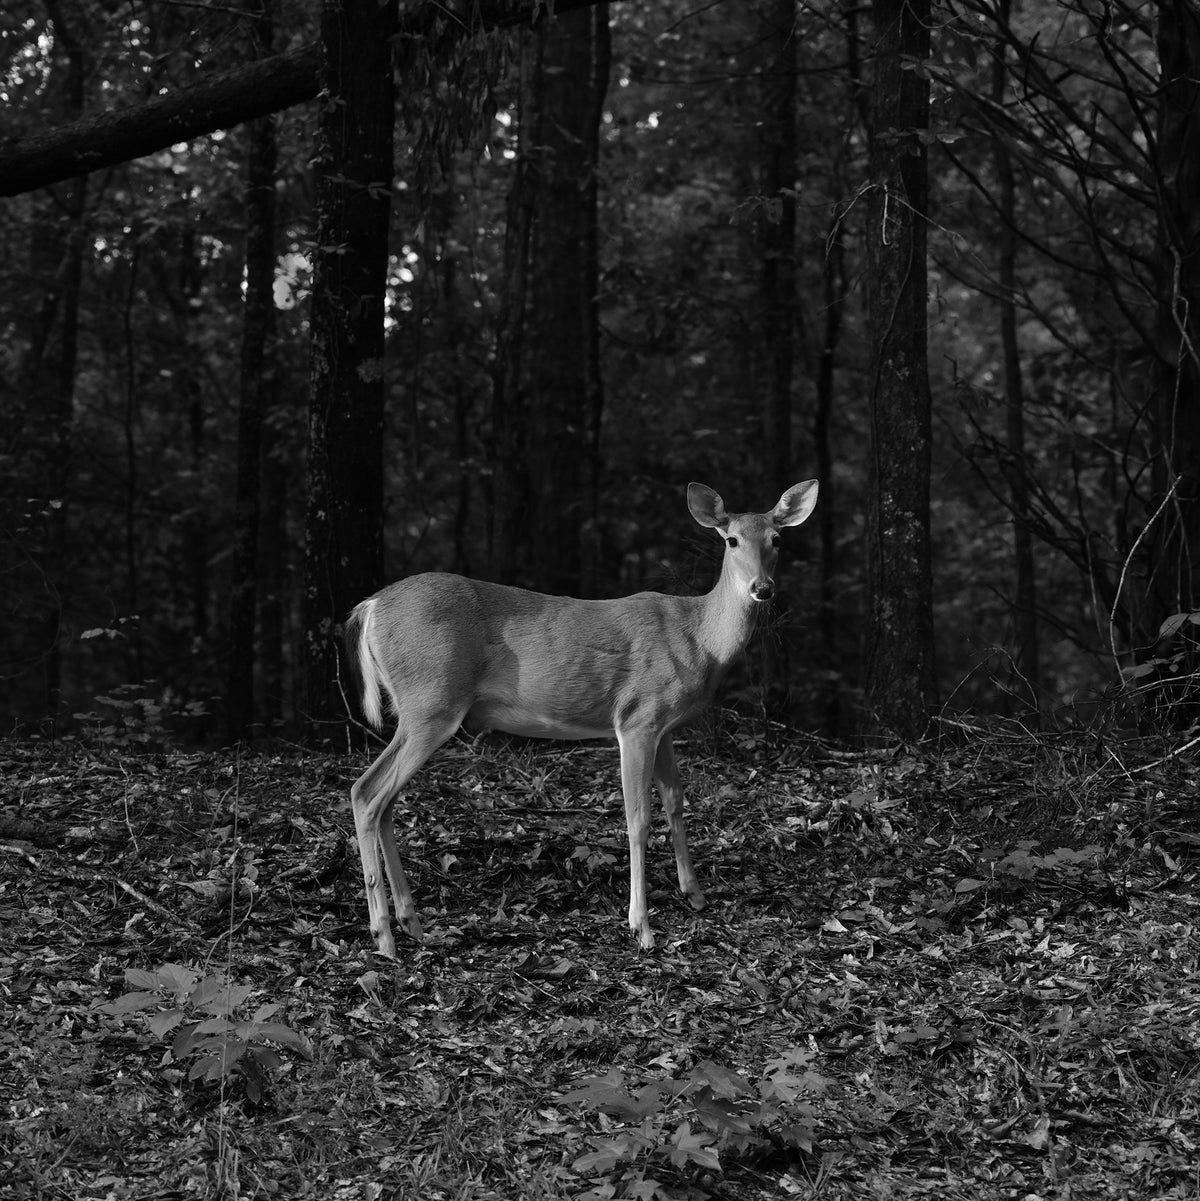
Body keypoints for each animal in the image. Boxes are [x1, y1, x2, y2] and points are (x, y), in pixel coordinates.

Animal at [344, 479, 819, 956]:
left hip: (419, 709)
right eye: (732, 540)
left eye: (777, 539)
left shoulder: (663, 725)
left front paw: (695, 894)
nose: (763, 588)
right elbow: (637, 819)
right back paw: (383, 934)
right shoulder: (636, 718)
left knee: (385, 801)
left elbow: (675, 800)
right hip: (431, 702)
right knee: (366, 791)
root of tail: (369, 606)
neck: (700, 638)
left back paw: (410, 922)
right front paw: (641, 927)